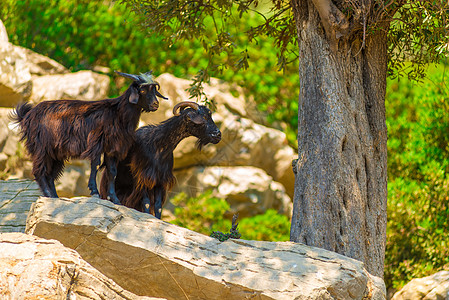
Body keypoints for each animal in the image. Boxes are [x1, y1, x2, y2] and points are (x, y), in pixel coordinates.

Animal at [11, 70, 166, 203]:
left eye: (154, 90)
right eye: (142, 90)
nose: (155, 104)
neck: (117, 113)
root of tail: (27, 116)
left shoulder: (112, 147)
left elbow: (112, 171)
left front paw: (114, 199)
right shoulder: (96, 142)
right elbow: (95, 165)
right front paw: (94, 192)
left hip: (55, 152)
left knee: (50, 174)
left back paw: (55, 196)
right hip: (42, 147)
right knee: (39, 171)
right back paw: (49, 195)